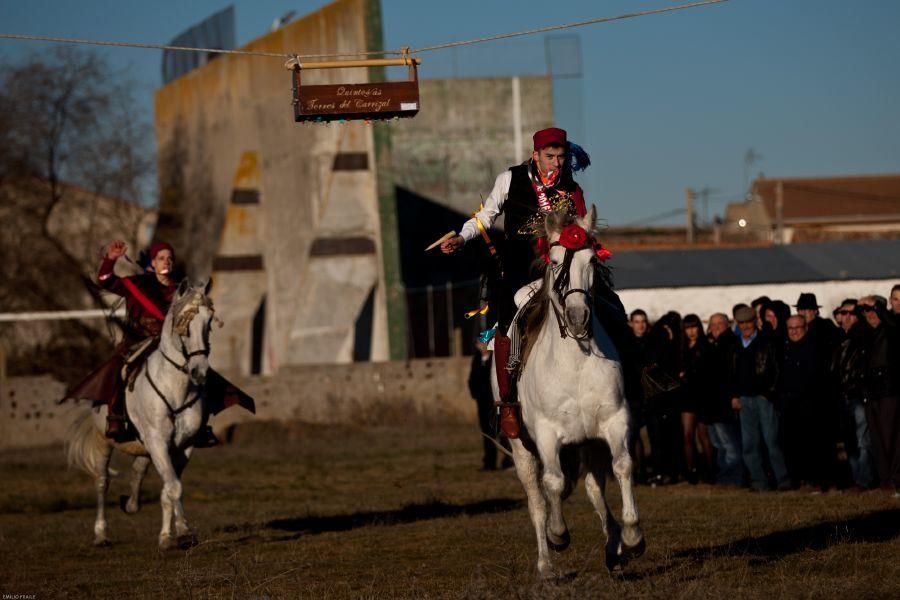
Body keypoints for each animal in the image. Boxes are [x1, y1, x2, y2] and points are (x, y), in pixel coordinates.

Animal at [66, 278, 217, 552]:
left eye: (209, 321)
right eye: (184, 323)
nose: (199, 371)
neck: (174, 386)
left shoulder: (183, 446)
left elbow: (170, 487)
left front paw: (173, 533)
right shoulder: (157, 442)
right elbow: (173, 487)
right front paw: (178, 534)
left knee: (138, 470)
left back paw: (131, 504)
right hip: (106, 443)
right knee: (102, 482)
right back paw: (101, 534)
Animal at [496, 206, 644, 576]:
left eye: (591, 260)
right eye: (554, 262)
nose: (578, 317)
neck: (575, 360)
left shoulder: (615, 420)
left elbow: (623, 465)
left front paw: (632, 537)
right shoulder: (546, 434)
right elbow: (553, 483)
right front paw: (558, 535)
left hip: (588, 442)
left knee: (594, 489)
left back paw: (614, 548)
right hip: (521, 447)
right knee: (536, 498)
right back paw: (546, 564)